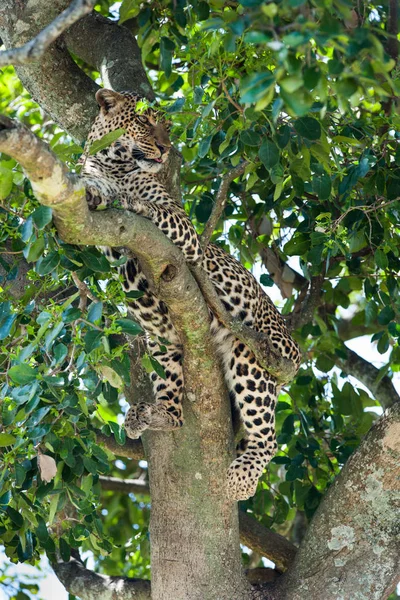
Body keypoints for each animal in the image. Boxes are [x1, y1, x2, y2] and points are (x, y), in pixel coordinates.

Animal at [80, 88, 300, 502]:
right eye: (144, 120)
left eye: (167, 126)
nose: (166, 149)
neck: (117, 165)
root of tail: (296, 349)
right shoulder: (104, 239)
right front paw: (94, 190)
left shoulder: (185, 230)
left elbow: (157, 210)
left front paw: (133, 202)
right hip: (161, 342)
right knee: (176, 402)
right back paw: (156, 415)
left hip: (252, 356)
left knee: (268, 436)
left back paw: (242, 479)